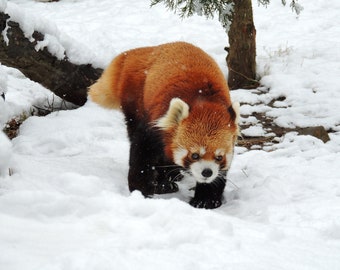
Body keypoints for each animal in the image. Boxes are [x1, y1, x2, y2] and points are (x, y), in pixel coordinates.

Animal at [89, 41, 240, 209]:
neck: (205, 99)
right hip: (135, 99)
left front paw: (206, 200)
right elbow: (142, 153)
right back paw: (165, 183)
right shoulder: (154, 122)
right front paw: (140, 190)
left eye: (219, 157)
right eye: (194, 155)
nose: (206, 172)